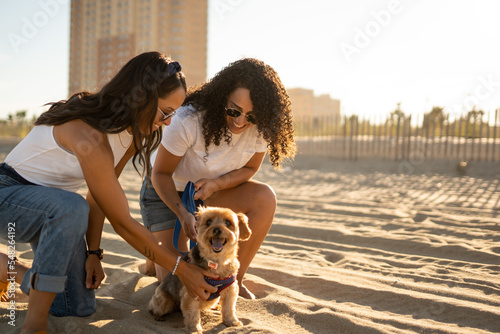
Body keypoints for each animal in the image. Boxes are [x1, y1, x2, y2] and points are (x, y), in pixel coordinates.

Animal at [147, 206, 250, 334]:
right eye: (209, 222)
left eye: (227, 223)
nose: (216, 229)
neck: (216, 262)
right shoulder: (192, 291)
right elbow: (192, 314)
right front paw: (194, 329)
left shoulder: (230, 289)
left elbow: (229, 307)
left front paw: (232, 321)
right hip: (163, 300)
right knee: (154, 307)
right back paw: (158, 316)